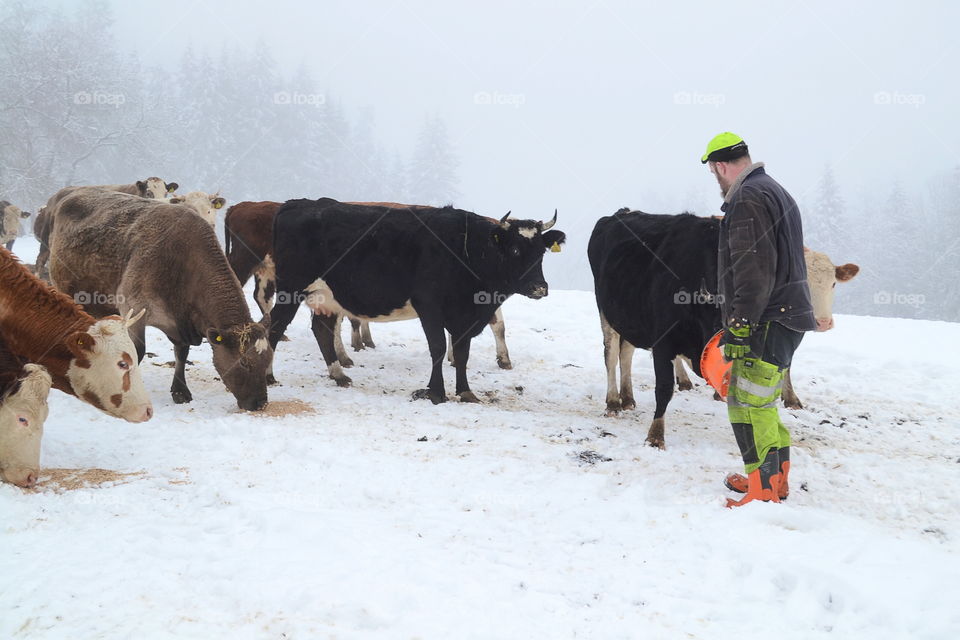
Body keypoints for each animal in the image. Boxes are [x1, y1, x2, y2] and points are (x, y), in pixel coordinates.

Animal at [49, 189, 274, 410]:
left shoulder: (180, 324)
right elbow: (137, 352)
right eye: (244, 362)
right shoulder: (133, 308)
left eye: (268, 359)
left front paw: (180, 391)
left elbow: (181, 353)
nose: (260, 403)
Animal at [266, 200, 568, 402]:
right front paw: (436, 392)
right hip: (291, 290)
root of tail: (300, 203)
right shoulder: (429, 306)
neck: (466, 250)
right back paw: (269, 376)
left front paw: (465, 391)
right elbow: (438, 348)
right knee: (274, 328)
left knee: (322, 330)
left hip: (326, 297)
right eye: (515, 249)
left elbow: (462, 353)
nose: (539, 288)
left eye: (541, 251)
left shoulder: (465, 317)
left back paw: (338, 374)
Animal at [584, 210, 720, 450]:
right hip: (607, 312)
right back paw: (613, 402)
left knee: (626, 354)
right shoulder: (663, 343)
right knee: (611, 354)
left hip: (630, 318)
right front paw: (655, 437)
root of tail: (618, 214)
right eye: (714, 324)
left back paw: (628, 398)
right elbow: (664, 388)